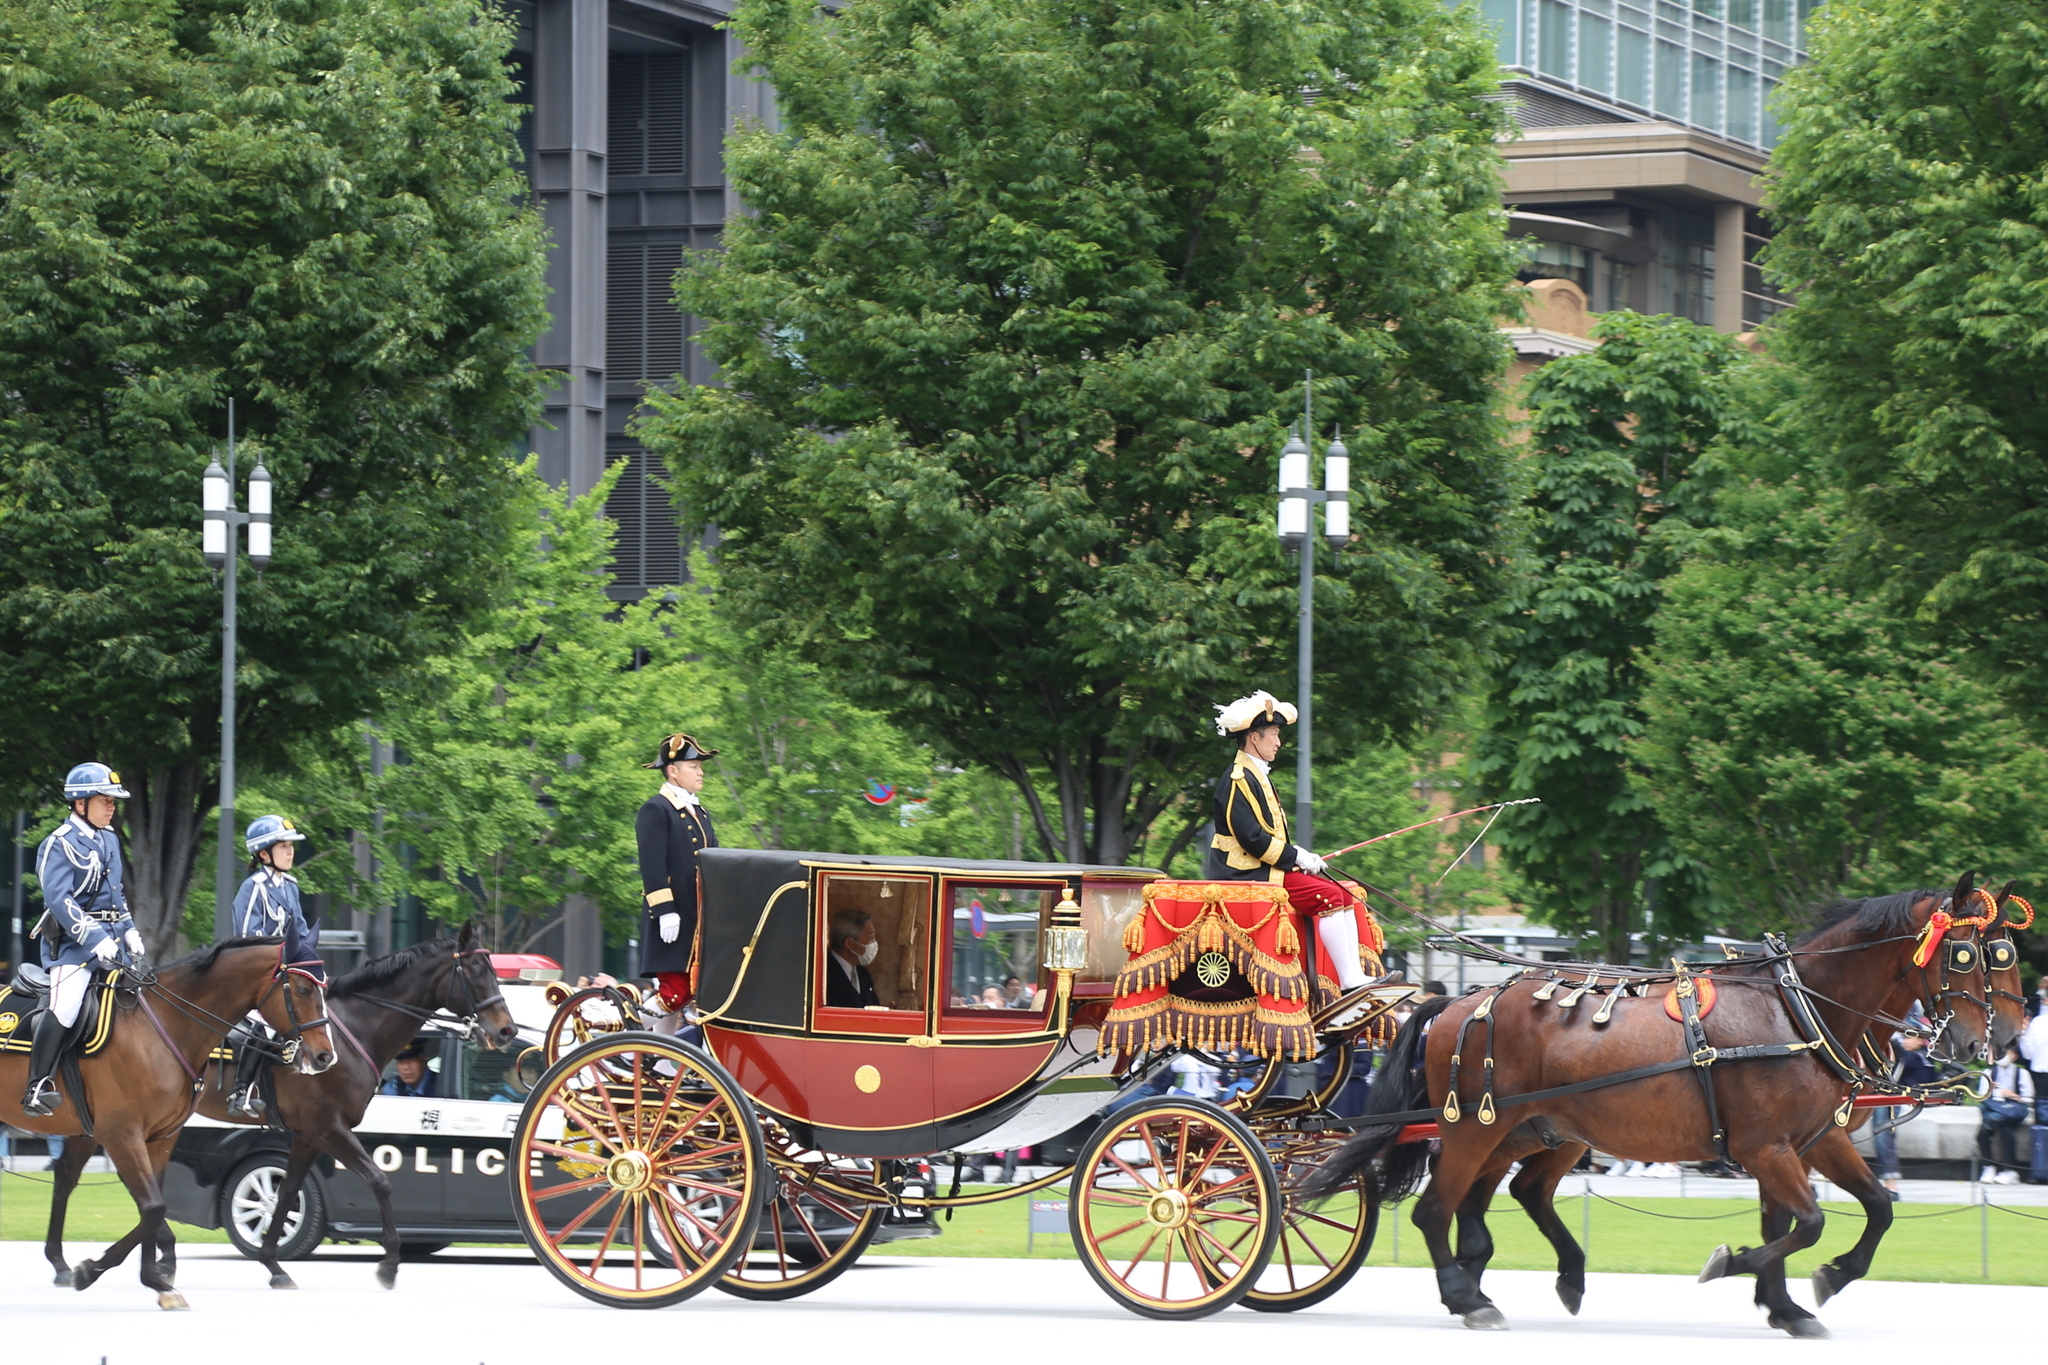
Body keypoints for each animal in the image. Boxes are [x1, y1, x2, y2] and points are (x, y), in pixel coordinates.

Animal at [0, 941, 333, 1309]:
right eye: (302, 989)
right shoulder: (121, 1135)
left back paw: (60, 1263)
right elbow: (154, 1207)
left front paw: (156, 1281)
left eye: (324, 988)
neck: (164, 1027)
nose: (324, 1056)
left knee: (66, 1177)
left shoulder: (158, 1139)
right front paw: (93, 1270)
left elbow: (154, 1207)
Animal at [47, 925, 516, 1301]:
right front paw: (388, 1264)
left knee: (75, 1175)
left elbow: (288, 1192)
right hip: (121, 1125)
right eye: (478, 970)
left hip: (99, 1123)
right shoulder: (329, 1127)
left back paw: (82, 1261)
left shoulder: (309, 1135)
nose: (506, 1030)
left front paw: (273, 1262)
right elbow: (379, 1181)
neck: (352, 1030)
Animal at [1310, 879, 1998, 1342]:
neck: (1796, 1010)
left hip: (1536, 1129)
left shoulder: (1802, 1144)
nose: (1978, 1045)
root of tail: (1457, 1002)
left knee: (1507, 1196)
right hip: (1474, 1128)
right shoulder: (1768, 1149)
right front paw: (1738, 1268)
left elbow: (1856, 1211)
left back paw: (1540, 1275)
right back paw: (1466, 1297)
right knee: (1436, 1209)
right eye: (1965, 955)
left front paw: (1789, 1300)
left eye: (2001, 956)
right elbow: (1806, 1224)